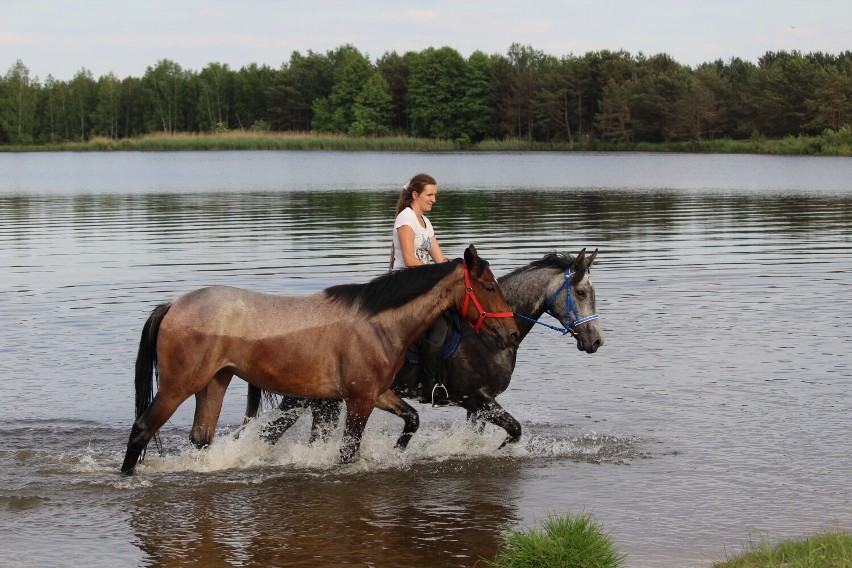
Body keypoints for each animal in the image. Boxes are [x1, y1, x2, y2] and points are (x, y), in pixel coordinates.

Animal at [120, 246, 520, 472]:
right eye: (489, 287)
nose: (512, 333)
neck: (378, 322)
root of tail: (173, 305)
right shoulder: (359, 401)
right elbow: (347, 452)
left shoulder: (377, 393)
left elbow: (412, 419)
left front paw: (398, 451)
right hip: (178, 387)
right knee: (141, 429)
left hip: (213, 384)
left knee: (201, 438)